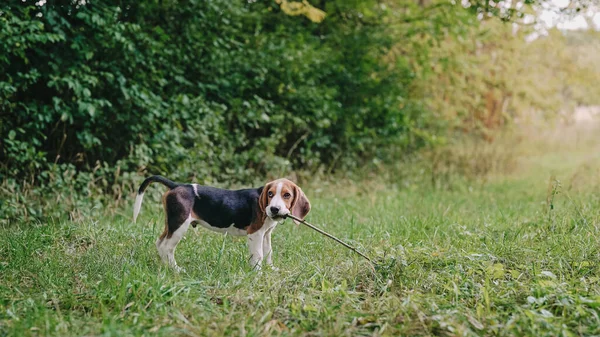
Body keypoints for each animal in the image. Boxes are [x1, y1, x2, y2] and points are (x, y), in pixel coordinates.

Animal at [131, 176, 310, 270]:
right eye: (271, 194)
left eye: (287, 195)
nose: (274, 209)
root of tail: (177, 185)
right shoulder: (255, 233)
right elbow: (258, 254)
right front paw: (257, 273)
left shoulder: (266, 233)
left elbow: (268, 252)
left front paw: (270, 269)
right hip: (180, 224)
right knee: (167, 247)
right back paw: (176, 270)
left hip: (172, 222)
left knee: (160, 243)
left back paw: (165, 267)